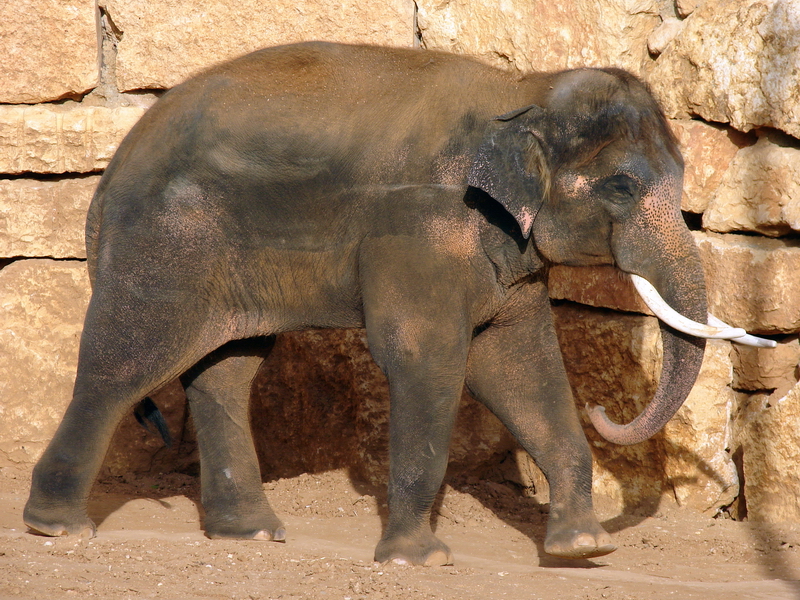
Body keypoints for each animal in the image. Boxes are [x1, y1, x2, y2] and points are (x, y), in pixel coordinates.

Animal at [23, 41, 769, 565]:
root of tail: (111, 170)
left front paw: (582, 549)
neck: (522, 91)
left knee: (227, 370)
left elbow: (520, 364)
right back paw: (57, 528)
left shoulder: (506, 252)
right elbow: (425, 356)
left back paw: (252, 534)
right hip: (164, 241)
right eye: (621, 186)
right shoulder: (419, 230)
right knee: (126, 365)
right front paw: (420, 560)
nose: (607, 410)